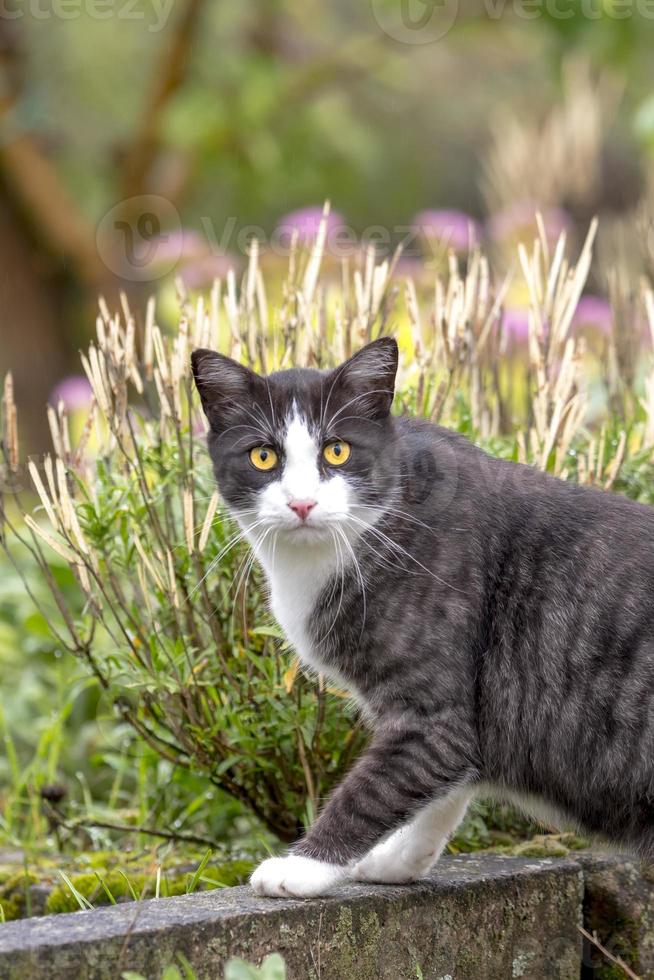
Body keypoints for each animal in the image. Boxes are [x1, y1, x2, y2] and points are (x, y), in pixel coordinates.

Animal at [191, 340, 654, 900]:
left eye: (337, 451)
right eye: (263, 456)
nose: (302, 503)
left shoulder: (433, 710)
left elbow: (374, 789)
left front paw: (304, 867)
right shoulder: (462, 722)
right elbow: (447, 782)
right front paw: (399, 861)